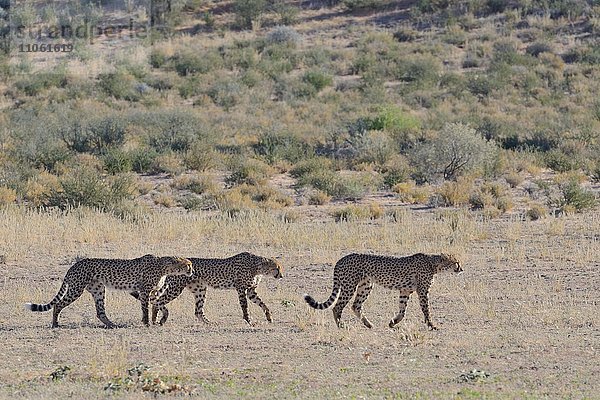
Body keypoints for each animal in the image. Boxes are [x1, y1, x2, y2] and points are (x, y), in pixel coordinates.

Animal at [25, 253, 192, 328]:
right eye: (188, 265)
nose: (192, 271)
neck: (165, 267)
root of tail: (74, 265)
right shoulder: (144, 291)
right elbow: (146, 308)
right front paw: (147, 323)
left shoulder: (148, 292)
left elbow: (158, 305)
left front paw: (159, 319)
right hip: (76, 289)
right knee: (58, 305)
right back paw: (55, 324)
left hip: (98, 290)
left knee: (100, 312)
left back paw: (112, 324)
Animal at [132, 253, 282, 324]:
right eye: (277, 268)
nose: (281, 275)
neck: (257, 267)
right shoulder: (241, 289)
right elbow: (244, 306)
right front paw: (249, 321)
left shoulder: (251, 290)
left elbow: (263, 304)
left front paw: (269, 317)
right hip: (176, 288)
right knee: (157, 301)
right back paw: (157, 320)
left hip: (200, 289)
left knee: (198, 311)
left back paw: (209, 323)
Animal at [304, 252, 464, 330]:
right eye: (456, 262)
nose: (461, 269)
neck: (433, 264)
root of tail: (341, 259)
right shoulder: (423, 292)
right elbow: (426, 310)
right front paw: (432, 325)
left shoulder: (405, 291)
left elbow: (402, 310)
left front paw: (393, 322)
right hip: (350, 286)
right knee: (337, 307)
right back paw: (342, 326)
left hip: (366, 286)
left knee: (356, 306)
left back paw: (368, 324)